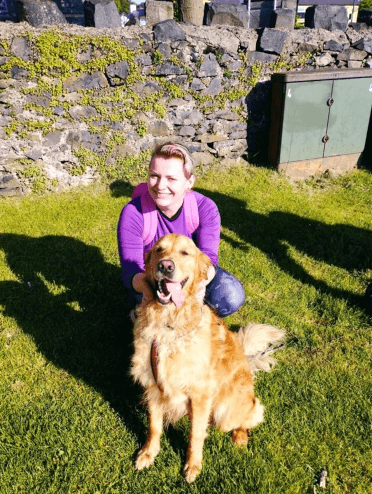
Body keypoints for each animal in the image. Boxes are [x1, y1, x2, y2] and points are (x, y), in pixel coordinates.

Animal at [131, 234, 284, 482]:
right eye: (159, 250)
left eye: (185, 253)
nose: (166, 266)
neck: (169, 323)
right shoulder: (153, 386)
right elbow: (154, 427)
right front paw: (148, 453)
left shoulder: (200, 395)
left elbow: (195, 435)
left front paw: (193, 466)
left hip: (226, 413)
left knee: (250, 414)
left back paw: (240, 436)